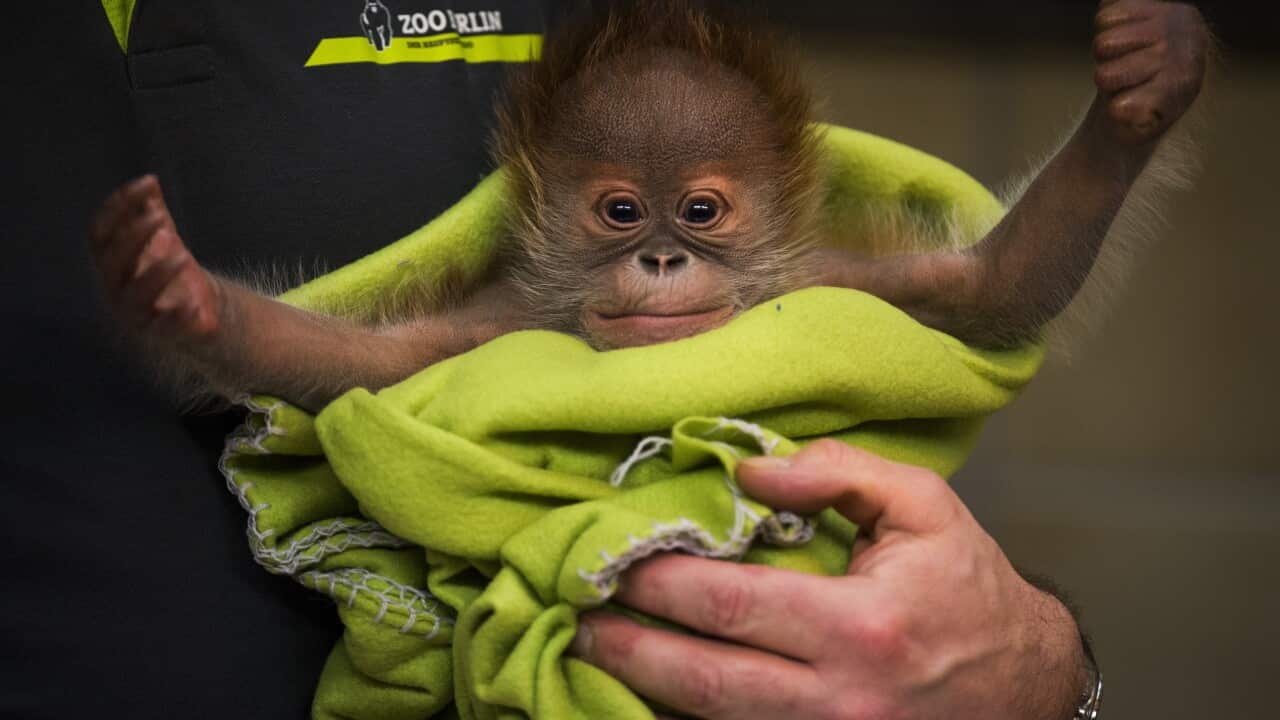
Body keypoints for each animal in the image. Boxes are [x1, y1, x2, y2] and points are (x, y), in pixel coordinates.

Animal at [89, 0, 1210, 415]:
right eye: (623, 213)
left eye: (701, 213)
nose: (664, 260)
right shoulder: (492, 327)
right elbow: (344, 363)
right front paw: (187, 297)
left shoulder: (837, 280)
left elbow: (991, 286)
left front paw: (1143, 88)